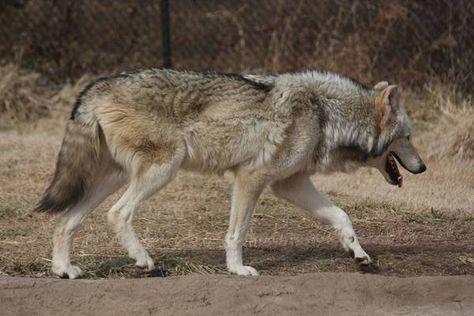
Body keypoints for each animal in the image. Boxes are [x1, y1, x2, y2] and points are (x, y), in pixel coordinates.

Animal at [34, 68, 426, 278]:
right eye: (408, 137)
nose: (423, 167)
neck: (325, 113)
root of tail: (95, 87)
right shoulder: (251, 177)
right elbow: (237, 234)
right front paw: (238, 270)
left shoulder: (289, 184)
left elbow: (341, 216)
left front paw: (359, 255)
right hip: (163, 170)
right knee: (118, 214)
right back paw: (145, 261)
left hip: (112, 179)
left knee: (64, 222)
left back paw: (64, 270)